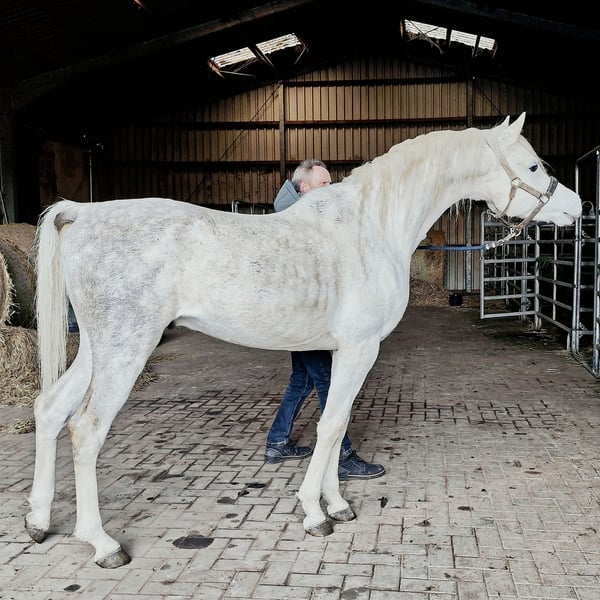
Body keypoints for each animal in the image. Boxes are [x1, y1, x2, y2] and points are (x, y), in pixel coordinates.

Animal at [25, 113, 582, 568]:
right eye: (533, 166)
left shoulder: (340, 353)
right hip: (125, 350)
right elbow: (331, 425)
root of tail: (84, 213)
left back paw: (37, 521)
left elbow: (336, 423)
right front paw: (316, 513)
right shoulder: (360, 348)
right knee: (86, 430)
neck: (371, 227)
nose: (578, 208)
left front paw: (336, 502)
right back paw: (102, 544)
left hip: (97, 349)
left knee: (50, 409)